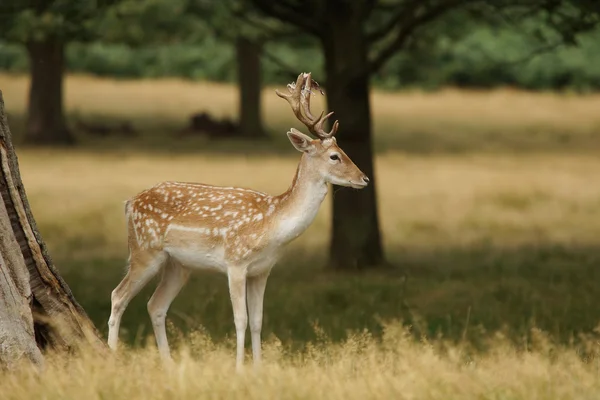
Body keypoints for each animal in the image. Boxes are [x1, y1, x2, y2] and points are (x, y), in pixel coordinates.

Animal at [108, 71, 370, 368]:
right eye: (335, 156)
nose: (364, 178)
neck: (272, 223)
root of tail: (130, 203)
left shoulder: (262, 270)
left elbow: (257, 320)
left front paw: (258, 368)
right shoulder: (235, 263)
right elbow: (240, 319)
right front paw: (239, 369)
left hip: (178, 265)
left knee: (155, 305)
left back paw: (169, 364)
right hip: (144, 251)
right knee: (118, 296)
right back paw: (112, 356)